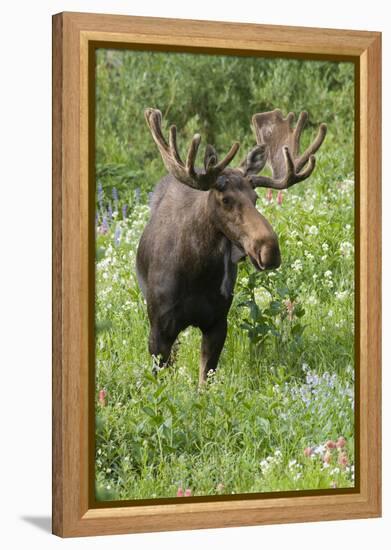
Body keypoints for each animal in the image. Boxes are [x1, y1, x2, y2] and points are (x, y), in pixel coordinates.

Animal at [136, 106, 326, 384]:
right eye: (225, 199)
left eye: (256, 197)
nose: (270, 250)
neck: (197, 274)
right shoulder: (159, 328)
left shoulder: (217, 322)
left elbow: (205, 381)